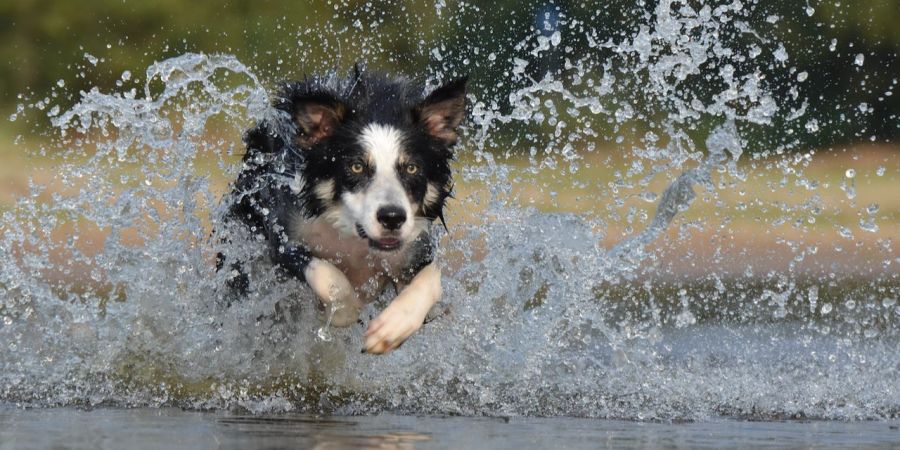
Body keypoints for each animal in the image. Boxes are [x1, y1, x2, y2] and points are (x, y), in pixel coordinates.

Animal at [215, 67, 468, 356]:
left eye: (412, 168)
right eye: (356, 166)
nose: (392, 218)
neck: (354, 239)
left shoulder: (414, 248)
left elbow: (431, 280)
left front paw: (391, 328)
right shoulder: (284, 236)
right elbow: (327, 275)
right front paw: (343, 311)